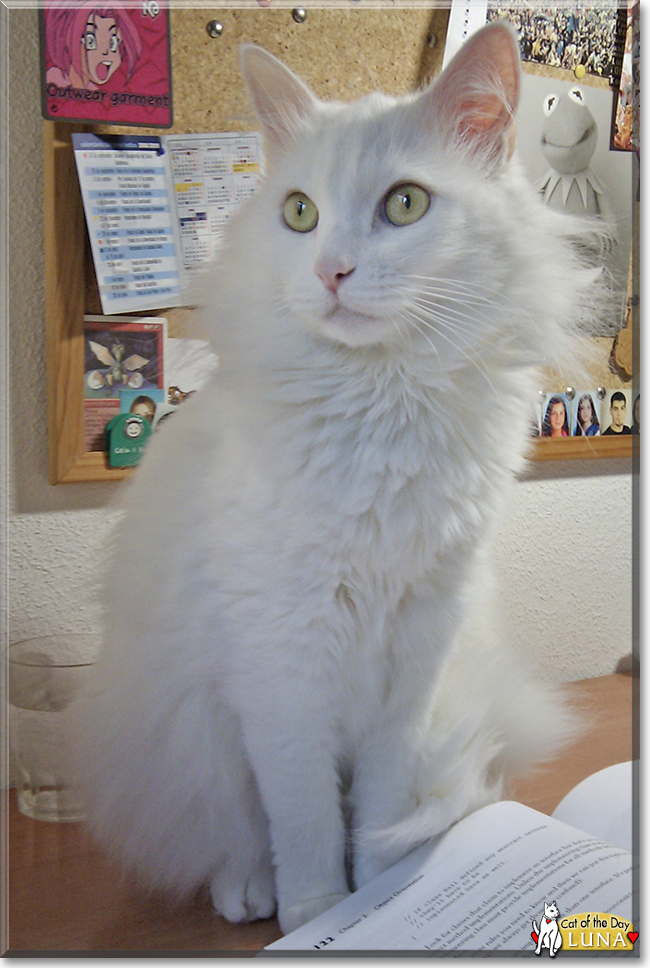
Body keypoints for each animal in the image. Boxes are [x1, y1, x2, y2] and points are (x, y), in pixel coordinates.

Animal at [77, 22, 592, 936]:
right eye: (299, 213)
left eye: (406, 206)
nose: (332, 271)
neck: (381, 400)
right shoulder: (280, 655)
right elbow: (304, 811)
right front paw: (318, 908)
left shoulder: (421, 641)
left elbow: (376, 802)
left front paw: (384, 889)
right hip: (193, 738)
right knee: (232, 834)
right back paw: (249, 892)